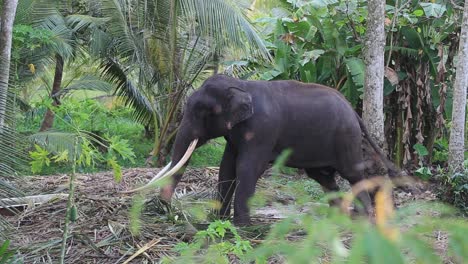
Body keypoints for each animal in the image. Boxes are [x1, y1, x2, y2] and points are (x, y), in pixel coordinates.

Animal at [129, 73, 398, 225]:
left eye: (204, 112)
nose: (166, 210)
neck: (241, 85)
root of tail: (353, 109)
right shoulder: (235, 135)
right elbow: (226, 169)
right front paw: (216, 220)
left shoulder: (262, 130)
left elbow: (247, 168)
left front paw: (242, 226)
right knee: (322, 176)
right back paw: (336, 216)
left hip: (345, 138)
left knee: (352, 174)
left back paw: (362, 218)